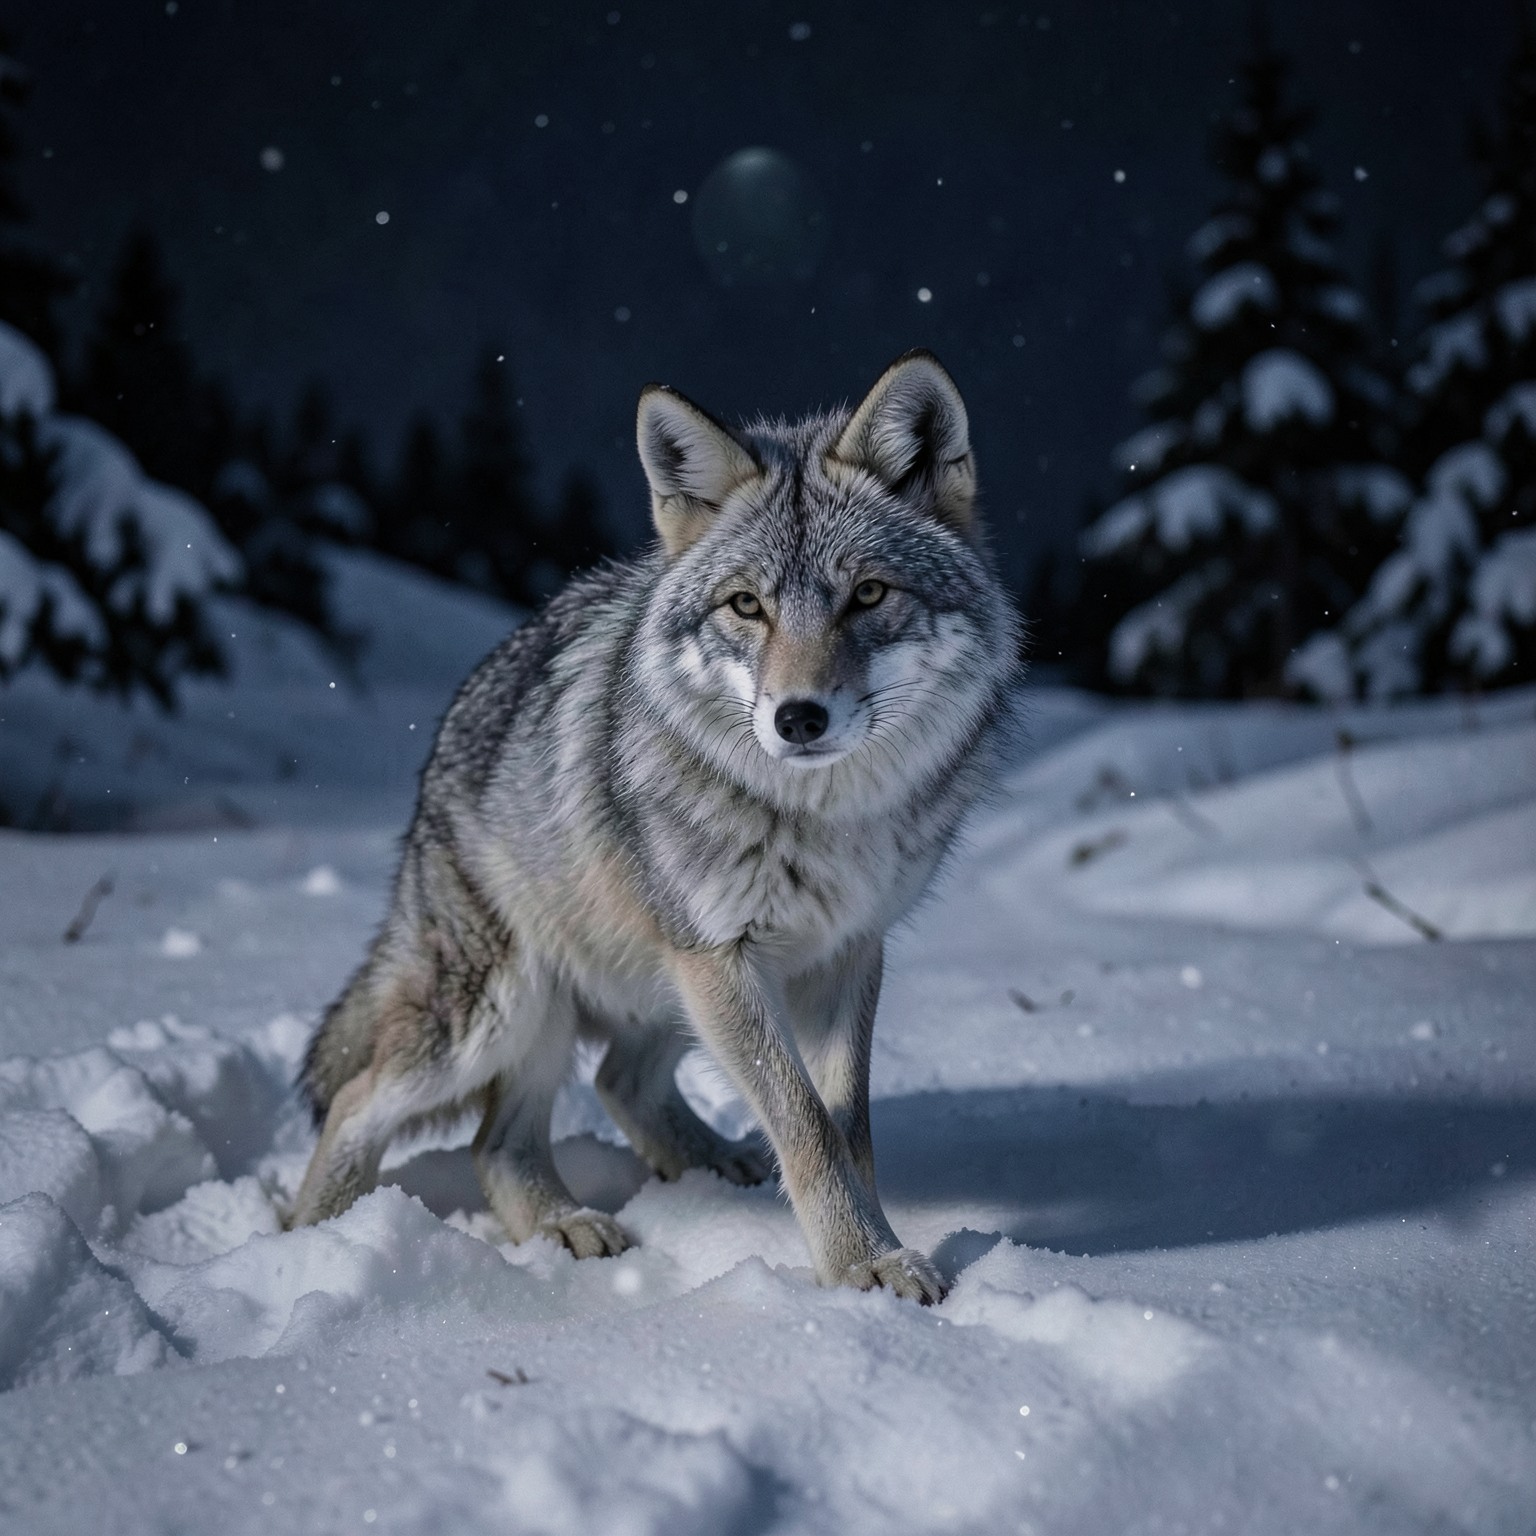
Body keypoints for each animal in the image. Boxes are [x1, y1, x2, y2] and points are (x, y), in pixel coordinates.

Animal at [291, 350, 1021, 1303]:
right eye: (747, 607)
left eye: (867, 595)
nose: (798, 718)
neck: (817, 820)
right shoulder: (723, 956)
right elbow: (808, 1128)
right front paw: (860, 1266)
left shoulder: (845, 955)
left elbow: (845, 1128)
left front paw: (876, 1251)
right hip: (509, 1009)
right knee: (373, 1104)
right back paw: (311, 1239)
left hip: (651, 991)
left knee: (570, 1105)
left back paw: (667, 1188)